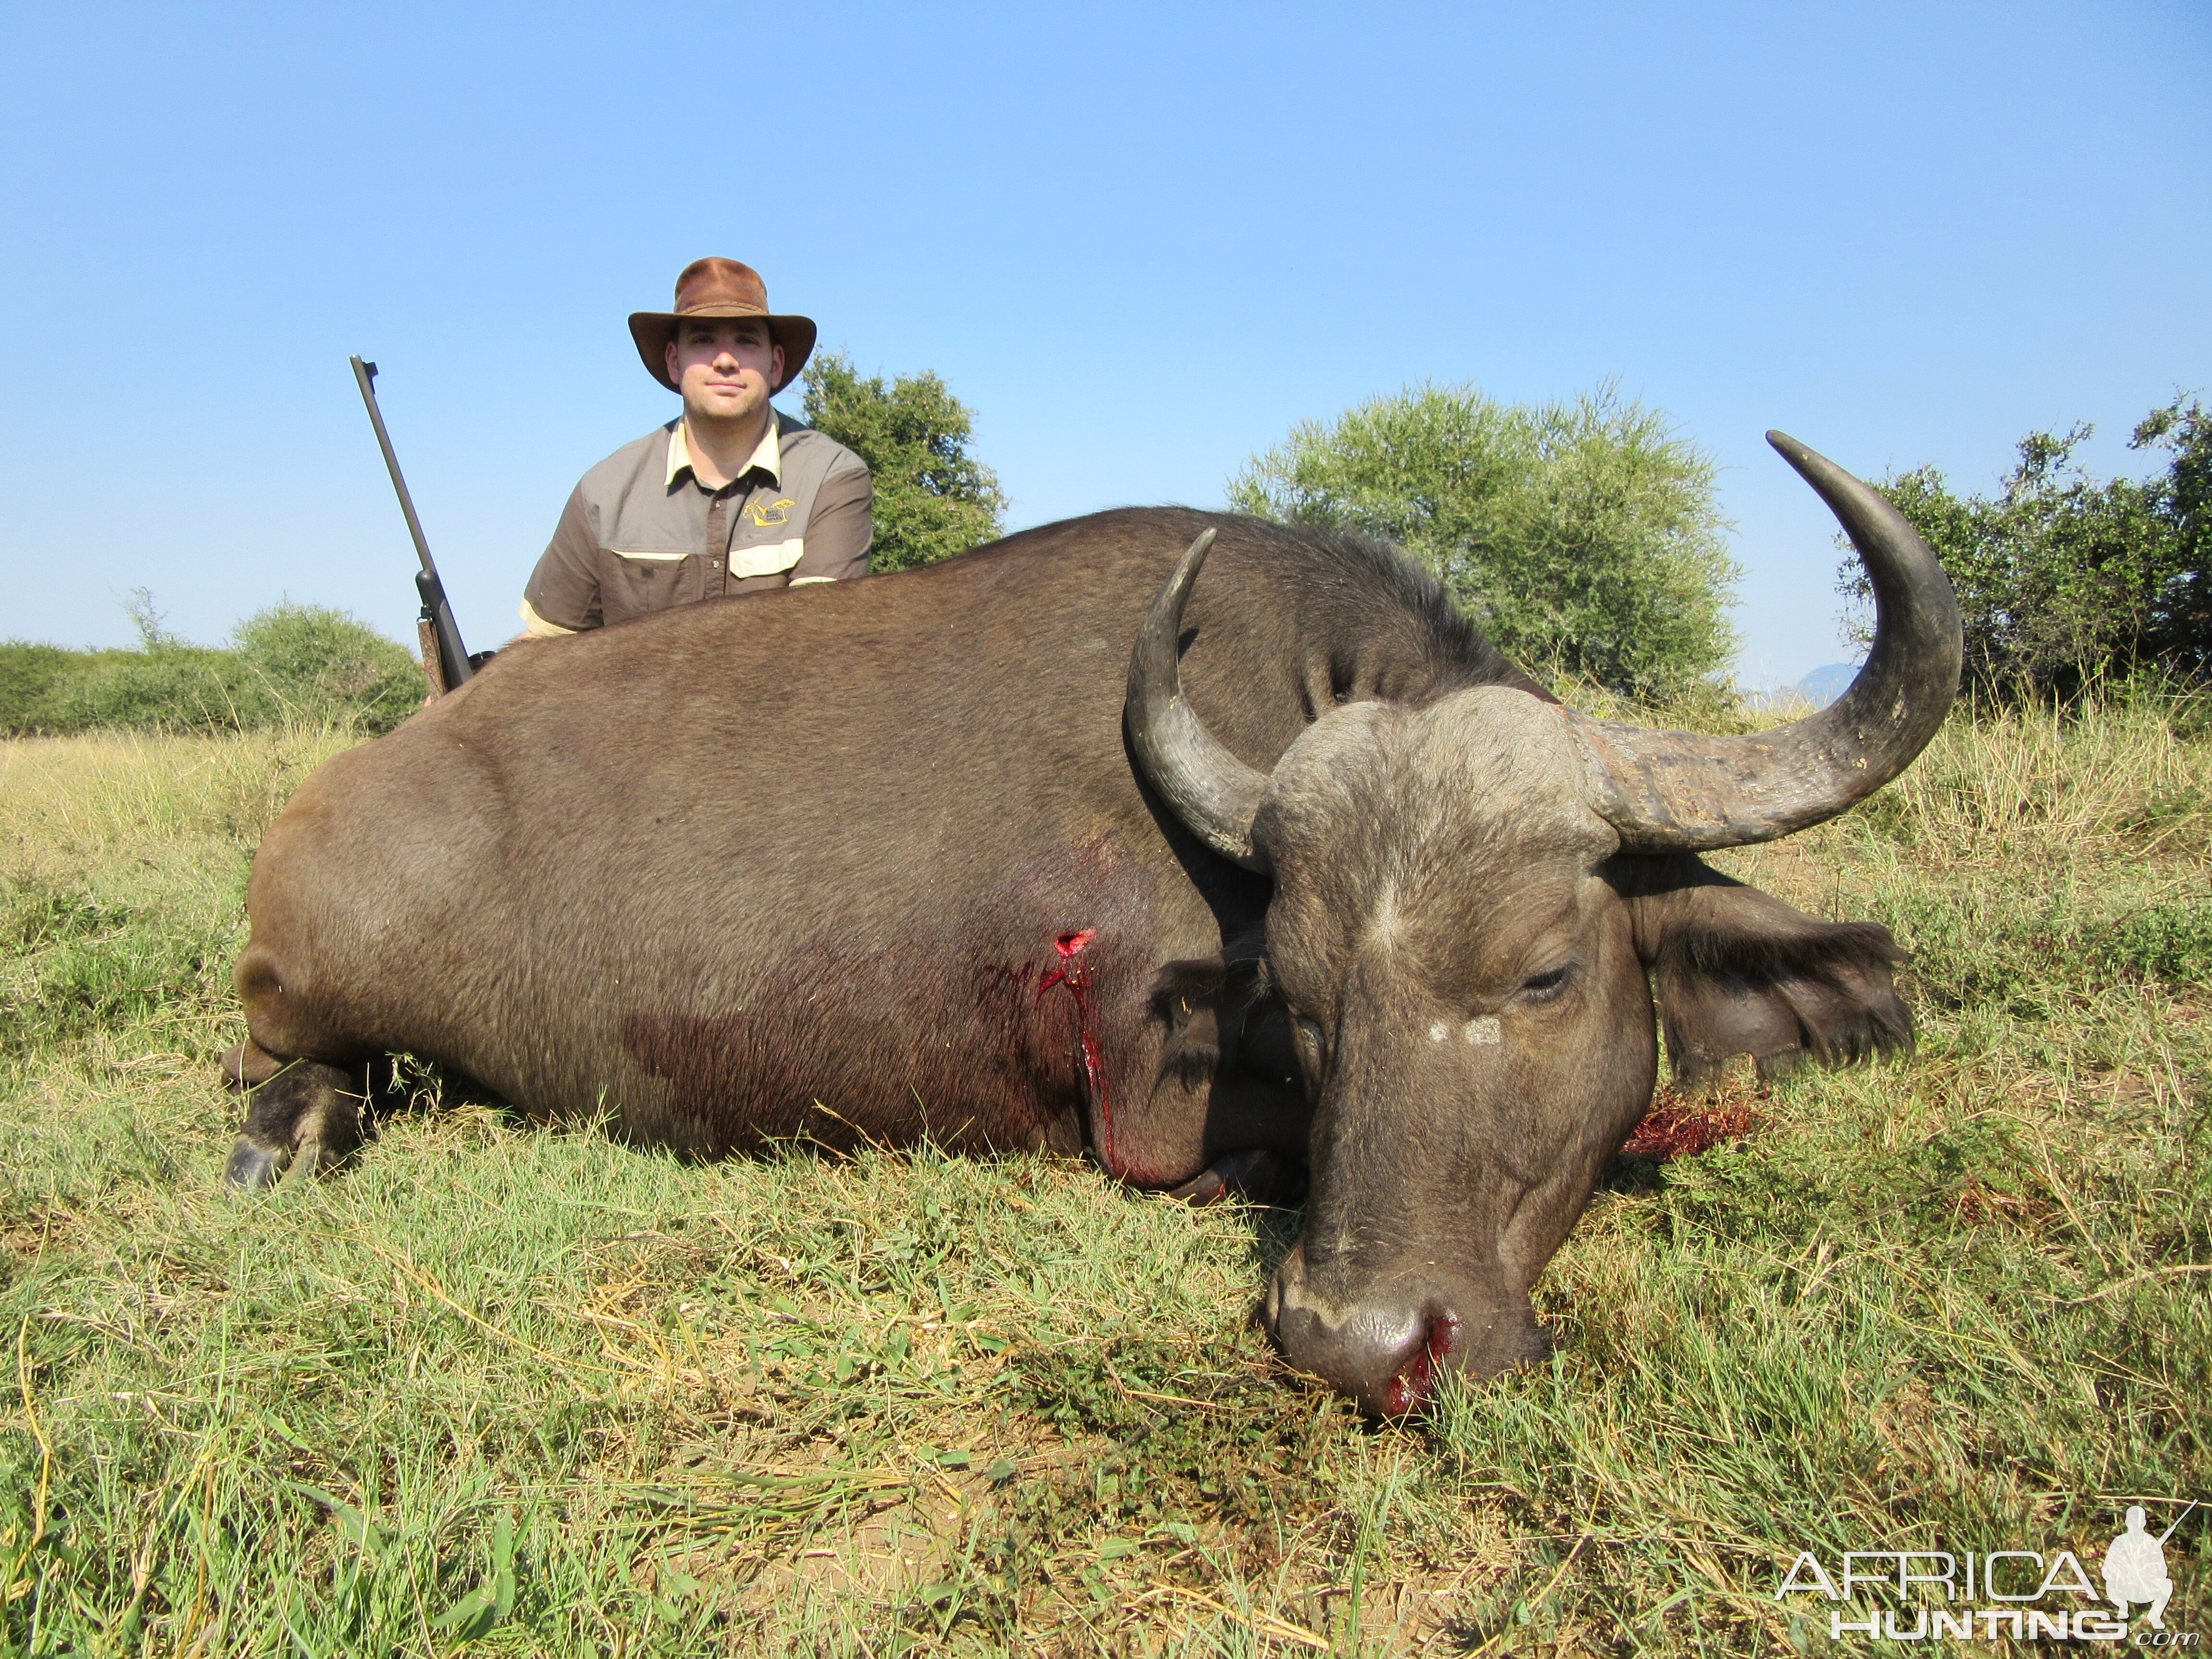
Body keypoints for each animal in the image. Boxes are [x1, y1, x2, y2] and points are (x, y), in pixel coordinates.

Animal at [220, 431, 1955, 1416]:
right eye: (1305, 1002)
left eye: (1539, 973)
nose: (1354, 1342)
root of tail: (344, 788)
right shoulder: (1152, 1104)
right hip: (295, 994)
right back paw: (288, 1129)